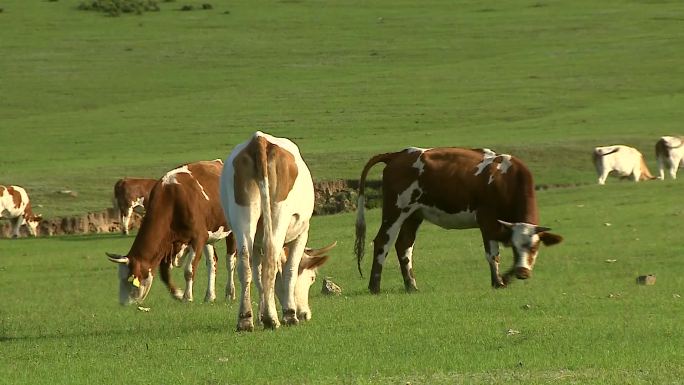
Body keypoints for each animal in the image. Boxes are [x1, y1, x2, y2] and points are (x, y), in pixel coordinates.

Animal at [104, 159, 236, 304]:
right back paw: (209, 295)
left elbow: (189, 270)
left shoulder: (198, 238)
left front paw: (187, 297)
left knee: (230, 261)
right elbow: (164, 274)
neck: (172, 199)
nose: (123, 303)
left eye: (129, 279)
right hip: (209, 236)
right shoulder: (168, 244)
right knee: (212, 263)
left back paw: (230, 293)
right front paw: (178, 293)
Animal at [219, 132, 332, 330]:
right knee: (271, 258)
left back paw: (245, 319)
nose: (305, 314)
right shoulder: (302, 234)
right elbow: (290, 271)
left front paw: (260, 314)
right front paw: (287, 313)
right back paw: (274, 318)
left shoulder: (257, 244)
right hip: (279, 213)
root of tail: (260, 140)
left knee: (245, 263)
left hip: (242, 214)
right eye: (312, 278)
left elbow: (258, 275)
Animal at [352, 146, 560, 292]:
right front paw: (498, 282)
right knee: (383, 242)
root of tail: (398, 154)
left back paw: (411, 286)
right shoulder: (487, 220)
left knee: (404, 246)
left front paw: (506, 278)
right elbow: (493, 254)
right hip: (395, 210)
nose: (523, 272)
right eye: (516, 247)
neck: (506, 179)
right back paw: (374, 286)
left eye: (535, 247)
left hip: (413, 215)